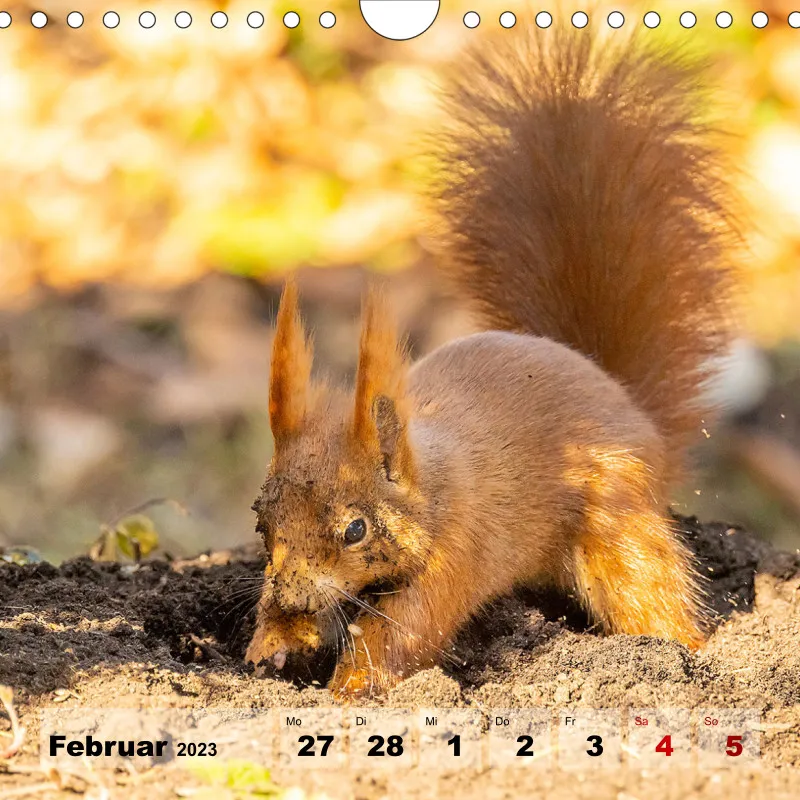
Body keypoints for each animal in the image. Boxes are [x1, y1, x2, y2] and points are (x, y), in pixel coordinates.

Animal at [245, 29, 737, 698]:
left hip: (620, 525)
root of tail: (633, 408)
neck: (429, 483)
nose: (293, 595)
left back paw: (685, 654)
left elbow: (404, 632)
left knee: (648, 591)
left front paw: (348, 691)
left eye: (355, 530)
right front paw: (271, 644)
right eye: (260, 518)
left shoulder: (460, 545)